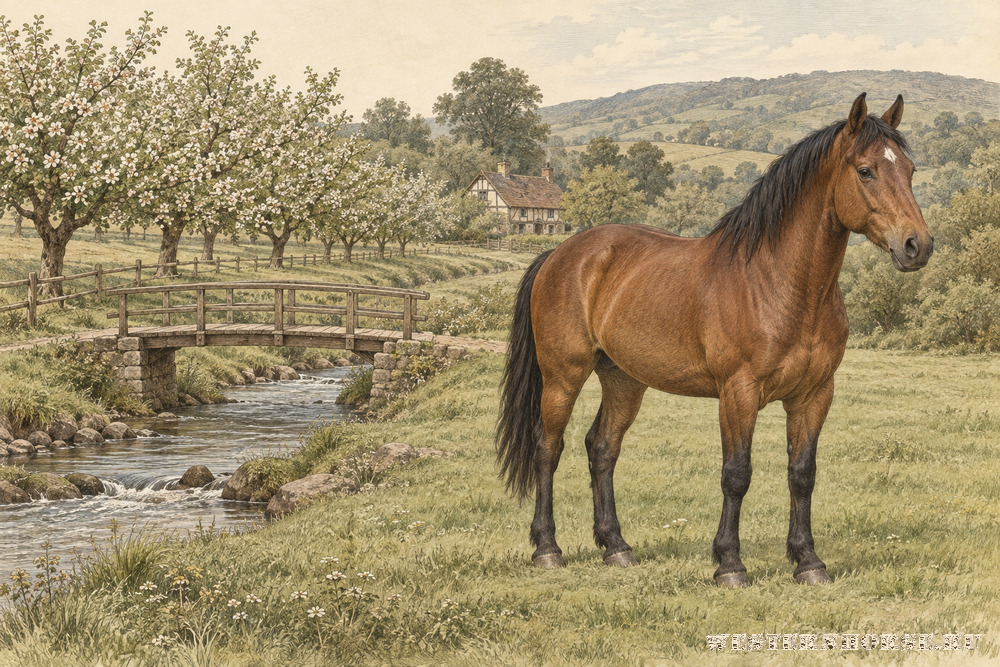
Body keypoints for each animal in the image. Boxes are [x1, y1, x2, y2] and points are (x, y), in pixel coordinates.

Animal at [496, 93, 933, 587]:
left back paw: (616, 547)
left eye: (911, 169)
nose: (917, 245)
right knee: (548, 448)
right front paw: (729, 564)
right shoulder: (738, 393)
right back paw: (547, 548)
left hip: (624, 380)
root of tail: (559, 254)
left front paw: (808, 561)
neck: (777, 282)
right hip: (562, 377)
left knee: (602, 449)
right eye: (865, 170)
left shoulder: (814, 394)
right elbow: (736, 474)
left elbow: (802, 474)